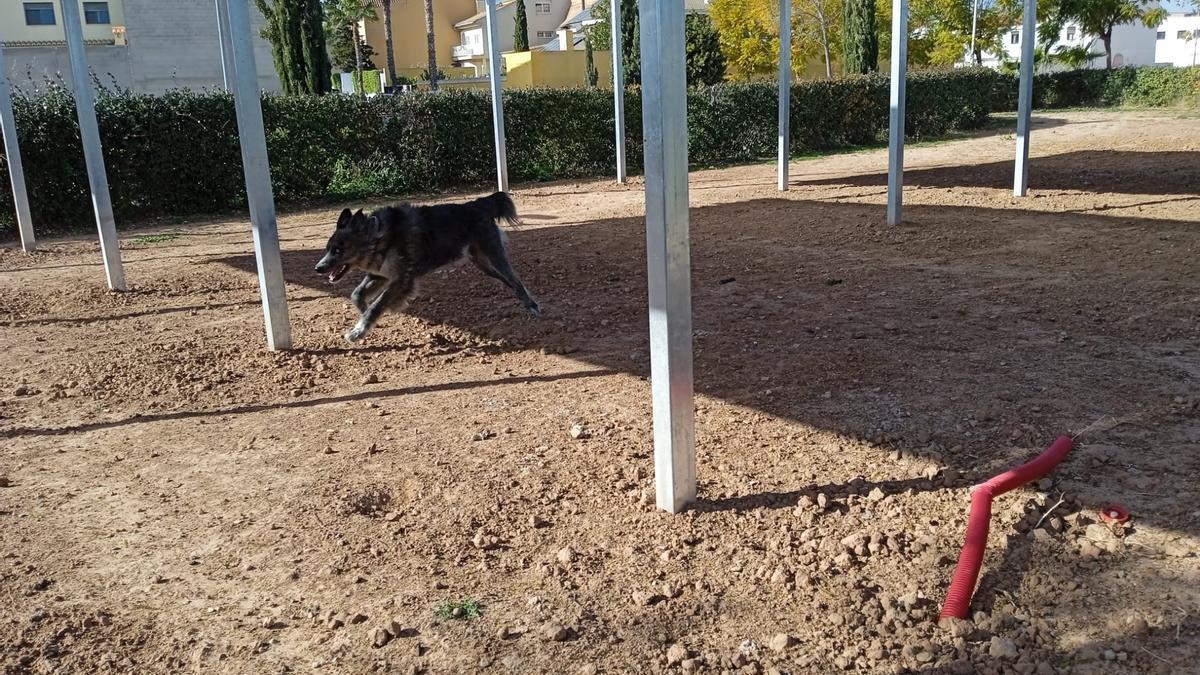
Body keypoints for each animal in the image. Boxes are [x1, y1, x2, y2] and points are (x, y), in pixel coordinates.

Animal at [319, 193, 544, 341]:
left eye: (338, 250)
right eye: (328, 249)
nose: (318, 268)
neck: (377, 235)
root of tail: (476, 205)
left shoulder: (402, 281)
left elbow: (377, 305)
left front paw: (359, 331)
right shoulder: (381, 274)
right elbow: (357, 294)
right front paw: (363, 313)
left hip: (494, 258)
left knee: (516, 280)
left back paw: (532, 305)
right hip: (485, 265)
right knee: (512, 282)